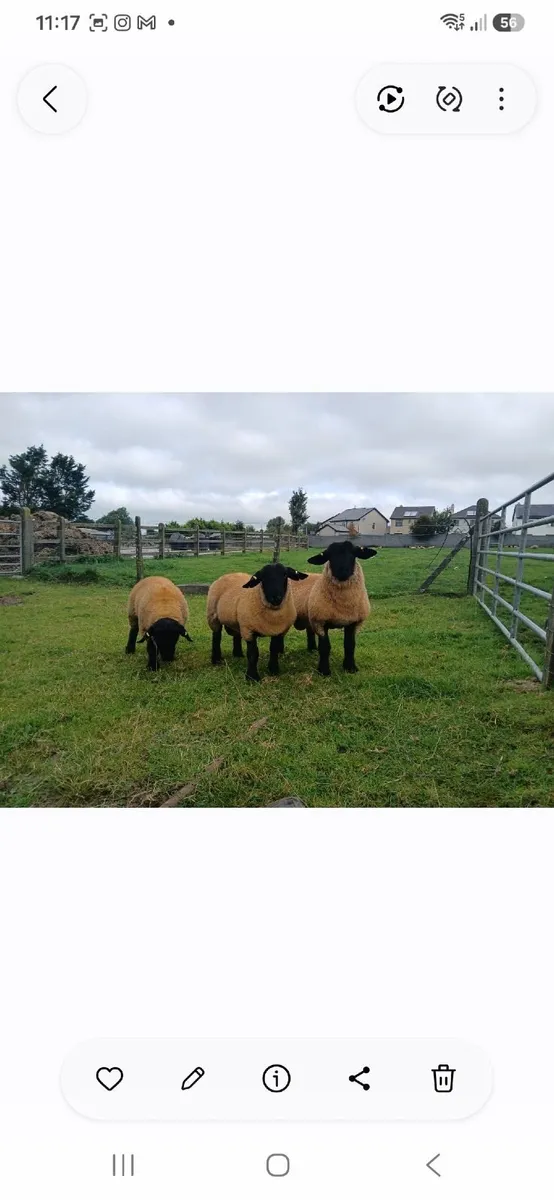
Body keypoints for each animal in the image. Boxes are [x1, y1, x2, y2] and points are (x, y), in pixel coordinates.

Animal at [306, 541, 377, 675]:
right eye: (329, 556)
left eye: (354, 553)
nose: (342, 571)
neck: (343, 606)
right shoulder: (320, 622)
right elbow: (325, 647)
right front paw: (324, 670)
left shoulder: (352, 622)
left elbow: (350, 645)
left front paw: (350, 667)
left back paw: (311, 649)